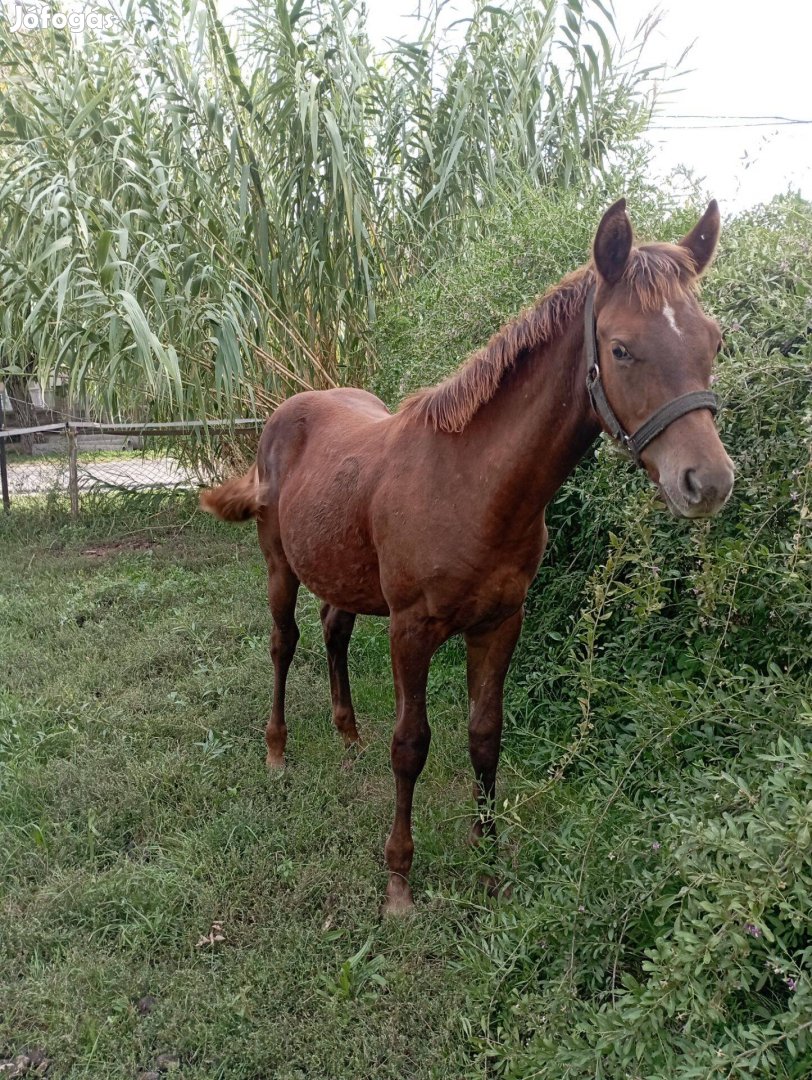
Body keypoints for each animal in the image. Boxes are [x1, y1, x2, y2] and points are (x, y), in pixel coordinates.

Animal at [199, 200, 734, 911]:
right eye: (620, 348)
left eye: (714, 341)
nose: (708, 482)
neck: (470, 488)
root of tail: (290, 409)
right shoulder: (411, 629)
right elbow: (411, 744)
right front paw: (399, 880)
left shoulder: (500, 623)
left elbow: (484, 736)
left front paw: (488, 862)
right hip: (280, 566)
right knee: (284, 643)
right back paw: (277, 752)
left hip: (343, 573)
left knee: (334, 631)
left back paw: (347, 734)